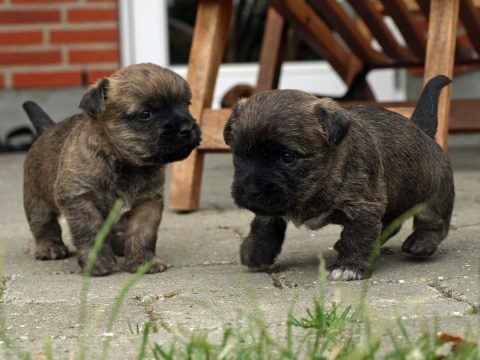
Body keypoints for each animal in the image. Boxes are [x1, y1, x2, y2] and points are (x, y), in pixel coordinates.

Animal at [23, 62, 200, 276]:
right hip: (36, 200)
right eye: (145, 114)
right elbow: (90, 232)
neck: (124, 163)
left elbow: (143, 233)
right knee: (44, 225)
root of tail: (48, 129)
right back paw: (50, 247)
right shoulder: (81, 200)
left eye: (187, 105)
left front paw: (143, 261)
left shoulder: (148, 202)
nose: (187, 128)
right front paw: (98, 262)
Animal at [223, 74, 456, 280]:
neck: (318, 183)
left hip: (435, 195)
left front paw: (348, 267)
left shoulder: (363, 206)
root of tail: (424, 133)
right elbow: (264, 222)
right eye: (239, 155)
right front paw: (257, 252)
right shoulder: (272, 204)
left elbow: (357, 235)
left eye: (287, 157)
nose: (251, 191)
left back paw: (421, 242)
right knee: (391, 224)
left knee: (434, 222)